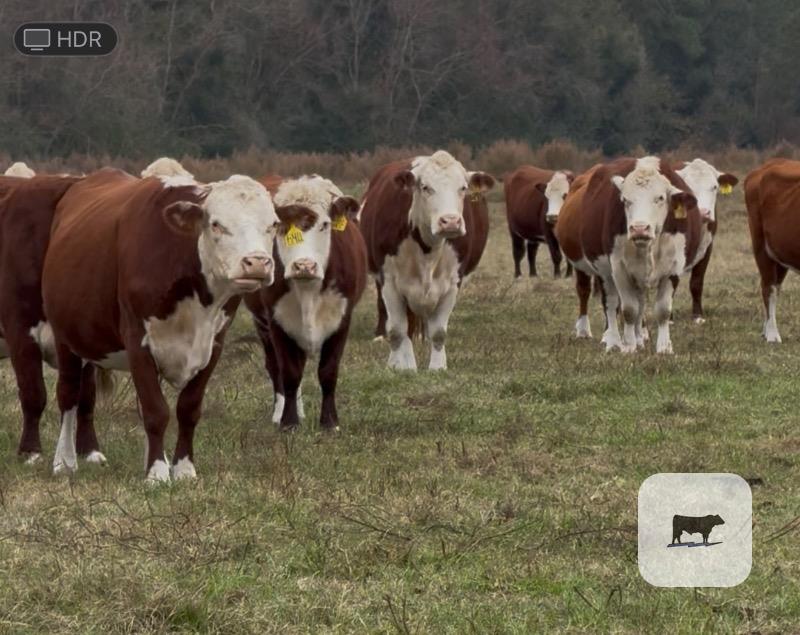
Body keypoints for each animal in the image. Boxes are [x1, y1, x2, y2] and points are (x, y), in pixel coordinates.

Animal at [42, 168, 280, 481]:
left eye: (273, 225)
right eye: (216, 224)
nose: (258, 263)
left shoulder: (214, 342)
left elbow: (188, 409)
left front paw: (182, 468)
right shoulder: (138, 341)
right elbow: (156, 410)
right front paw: (156, 472)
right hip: (66, 338)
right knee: (68, 394)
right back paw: (65, 461)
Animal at [245, 175, 365, 431]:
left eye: (325, 225)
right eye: (279, 227)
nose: (304, 265)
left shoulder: (342, 318)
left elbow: (328, 371)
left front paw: (329, 422)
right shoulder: (277, 320)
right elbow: (289, 373)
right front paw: (288, 422)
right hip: (262, 323)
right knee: (275, 367)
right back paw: (282, 412)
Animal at [359, 150, 494, 369]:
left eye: (463, 188)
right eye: (425, 187)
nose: (450, 221)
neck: (428, 248)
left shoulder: (452, 283)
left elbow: (438, 332)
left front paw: (437, 368)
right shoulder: (390, 282)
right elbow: (398, 330)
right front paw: (404, 368)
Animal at [556, 157, 702, 353]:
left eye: (660, 198)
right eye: (625, 200)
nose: (639, 228)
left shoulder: (673, 268)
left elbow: (662, 310)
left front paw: (663, 348)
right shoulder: (619, 269)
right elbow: (629, 309)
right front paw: (629, 346)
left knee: (638, 303)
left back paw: (639, 338)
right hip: (594, 269)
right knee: (600, 298)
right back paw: (604, 338)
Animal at [670, 159, 739, 323]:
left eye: (714, 187)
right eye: (687, 189)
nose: (703, 212)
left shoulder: (707, 247)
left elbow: (696, 282)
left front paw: (697, 316)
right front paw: (668, 318)